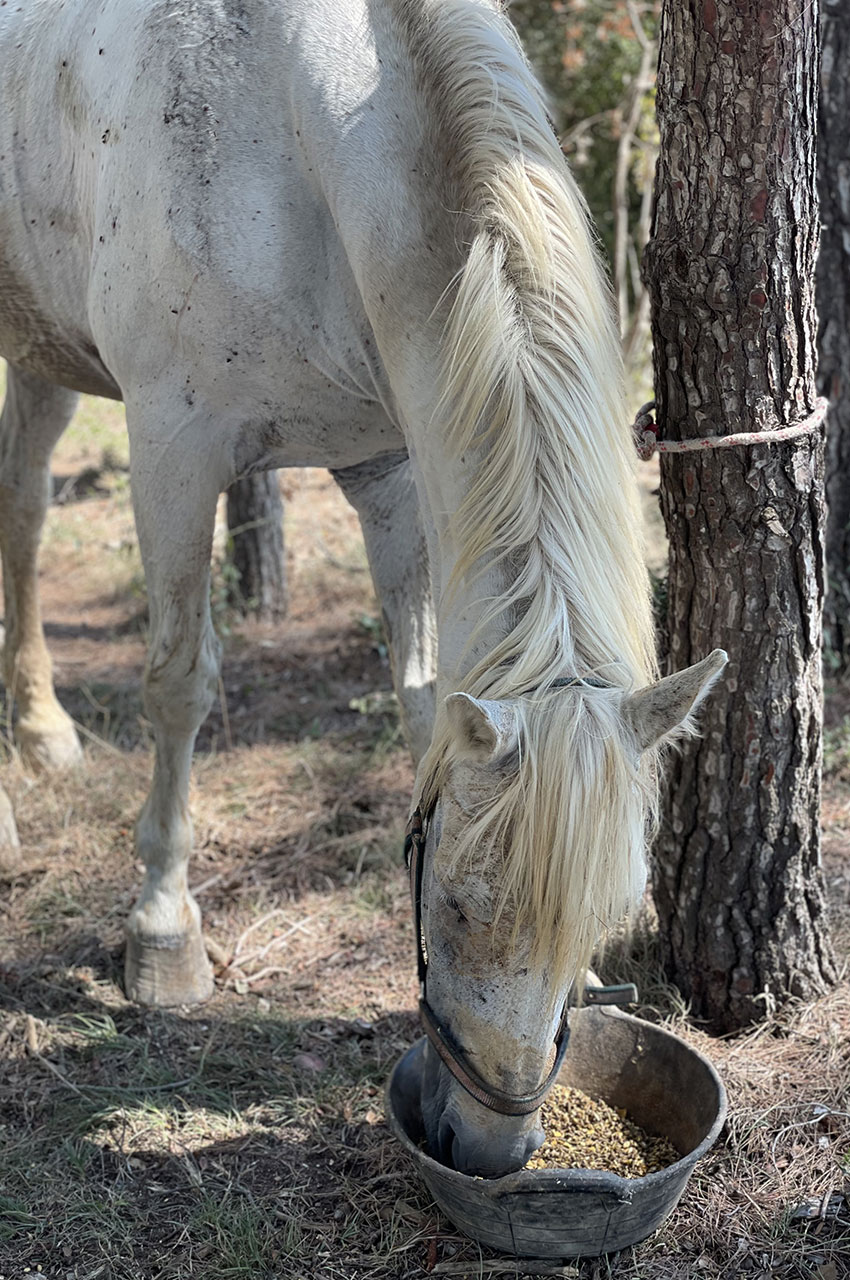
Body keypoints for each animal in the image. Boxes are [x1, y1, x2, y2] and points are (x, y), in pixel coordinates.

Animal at [0, 0, 721, 1177]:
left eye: (602, 919)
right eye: (461, 906)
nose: (491, 1149)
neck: (292, 138)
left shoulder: (389, 472)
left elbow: (420, 699)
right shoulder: (174, 450)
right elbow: (178, 685)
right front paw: (163, 932)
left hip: (39, 349)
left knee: (20, 505)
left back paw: (41, 728)